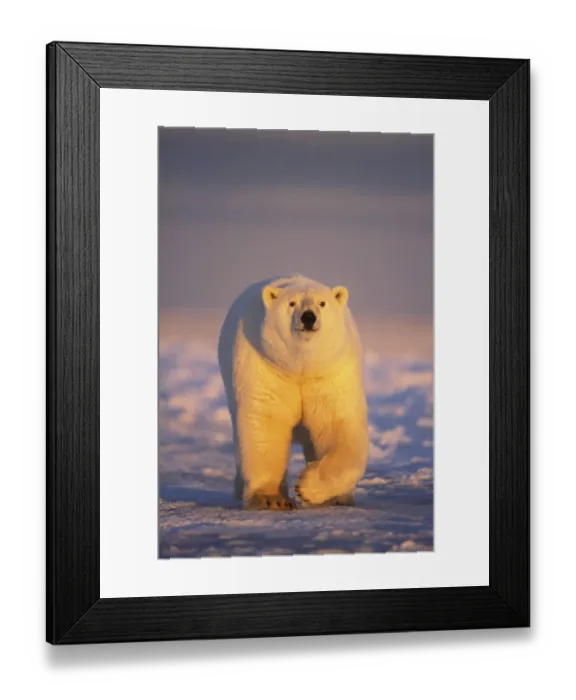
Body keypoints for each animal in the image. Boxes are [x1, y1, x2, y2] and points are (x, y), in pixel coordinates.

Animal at [217, 274, 369, 510]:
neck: (300, 366)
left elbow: (337, 425)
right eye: (292, 303)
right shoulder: (267, 365)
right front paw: (271, 499)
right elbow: (267, 423)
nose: (308, 317)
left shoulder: (329, 372)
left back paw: (341, 498)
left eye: (322, 303)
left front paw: (308, 488)